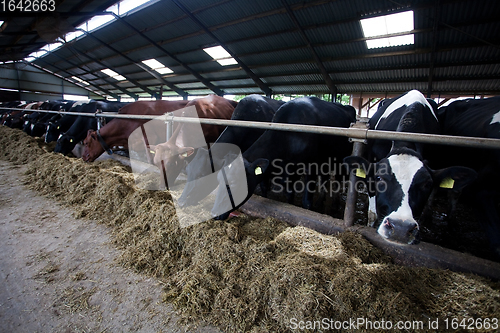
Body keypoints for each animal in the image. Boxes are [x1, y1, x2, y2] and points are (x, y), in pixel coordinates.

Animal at [211, 96, 356, 219]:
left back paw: (335, 205)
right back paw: (320, 201)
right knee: (325, 178)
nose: (214, 214)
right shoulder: (289, 168)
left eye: (232, 184)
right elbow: (284, 191)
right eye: (218, 181)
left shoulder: (311, 167)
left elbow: (306, 201)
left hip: (340, 157)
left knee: (338, 179)